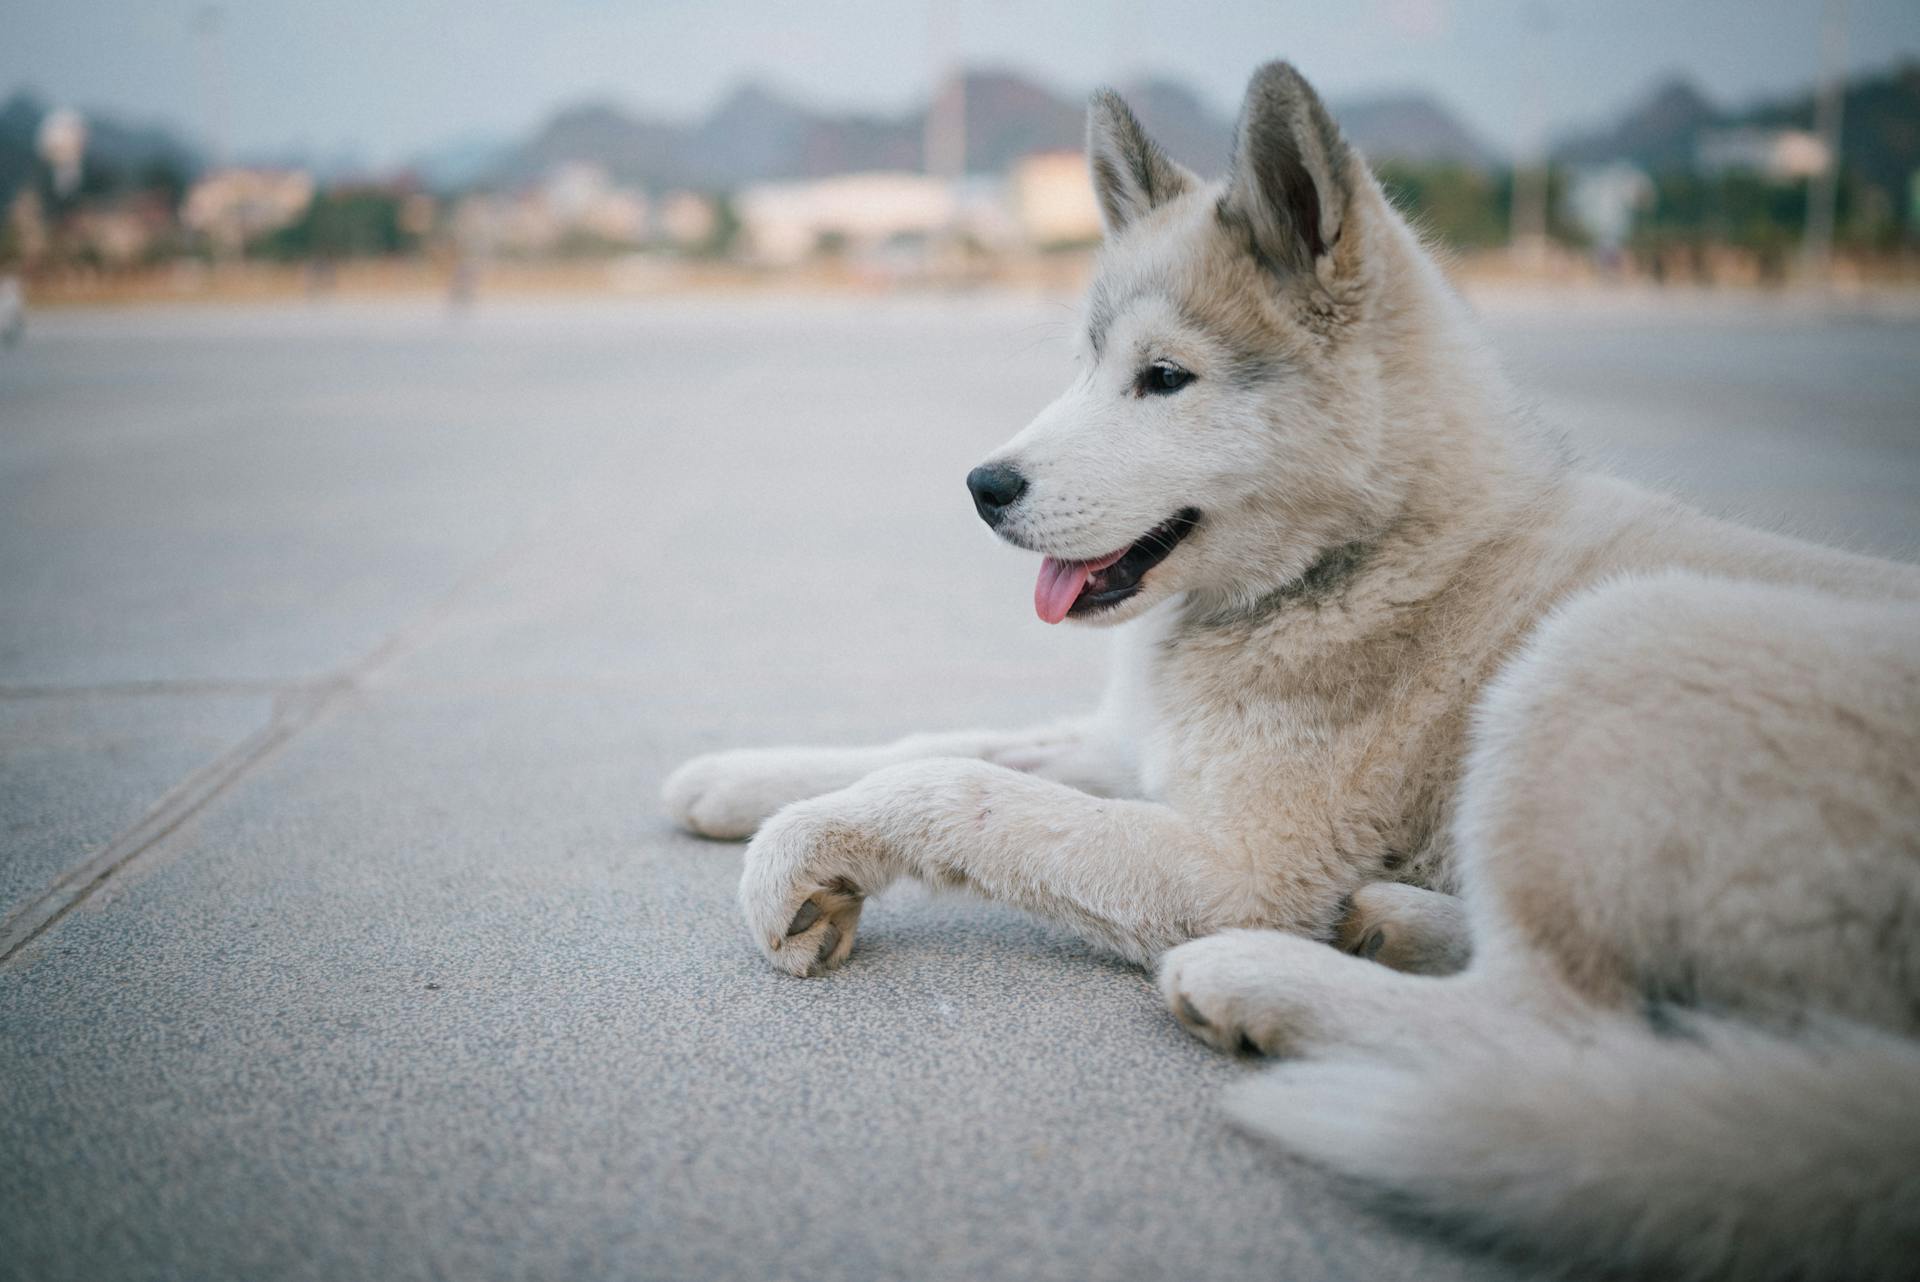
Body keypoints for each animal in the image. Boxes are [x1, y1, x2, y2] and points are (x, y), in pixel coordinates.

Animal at [664, 65, 1920, 1282]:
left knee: (1552, 1029)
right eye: (1086, 364)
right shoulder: (1137, 748)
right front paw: (745, 782)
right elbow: (933, 746)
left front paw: (798, 851)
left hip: (1610, 639)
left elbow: (961, 793)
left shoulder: (1240, 864)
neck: (1357, 553)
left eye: (1164, 377)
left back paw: (1265, 983)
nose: (982, 487)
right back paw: (1394, 922)